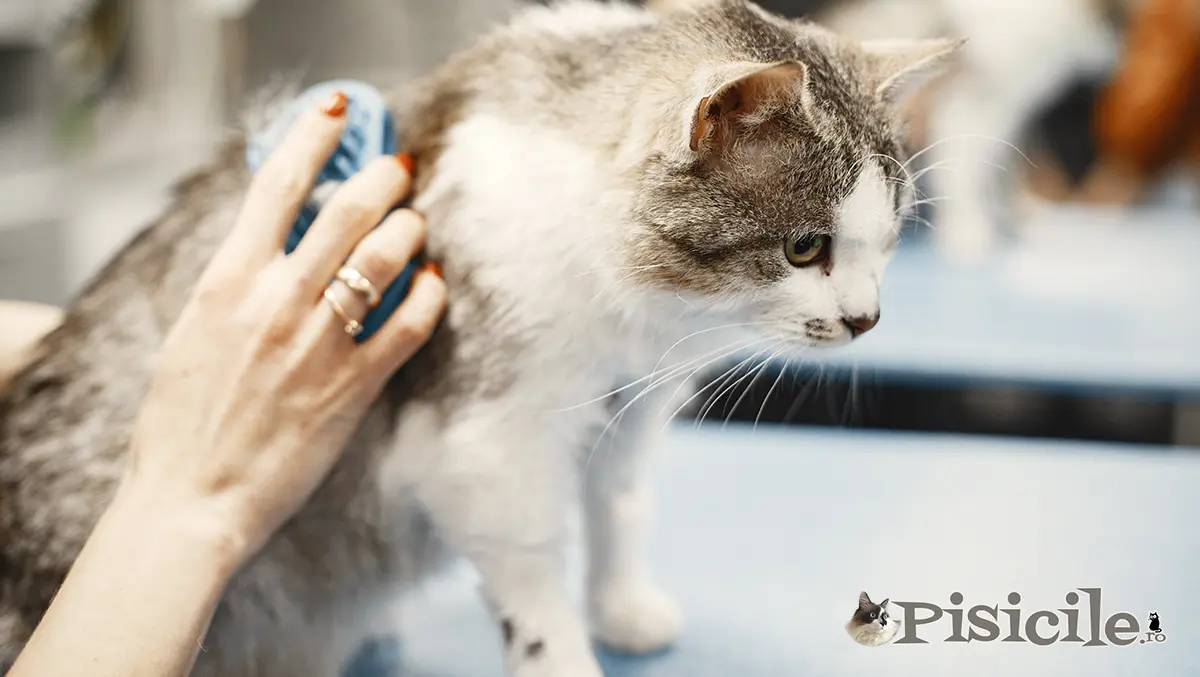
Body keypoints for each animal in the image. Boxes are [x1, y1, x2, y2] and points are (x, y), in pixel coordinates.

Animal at [0, 2, 960, 672]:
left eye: (888, 238)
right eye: (805, 247)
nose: (867, 318)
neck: (637, 320)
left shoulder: (624, 411)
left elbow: (618, 507)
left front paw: (622, 609)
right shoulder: (487, 441)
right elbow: (532, 576)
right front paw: (565, 656)